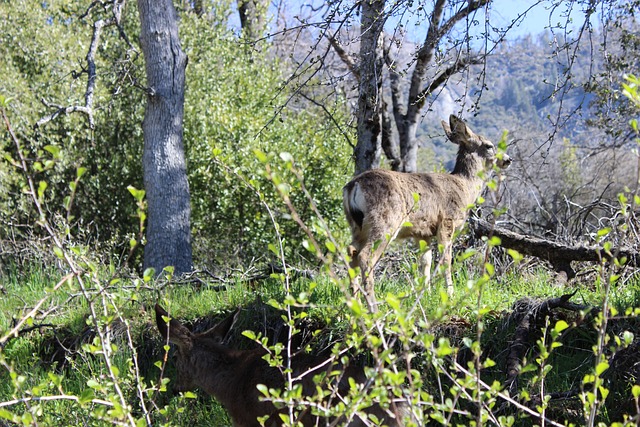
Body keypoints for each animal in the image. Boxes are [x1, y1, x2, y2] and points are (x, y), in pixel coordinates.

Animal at [342, 115, 512, 300]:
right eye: (489, 145)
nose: (508, 159)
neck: (465, 187)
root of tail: (354, 185)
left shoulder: (422, 232)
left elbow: (426, 262)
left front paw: (425, 294)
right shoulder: (447, 221)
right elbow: (445, 259)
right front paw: (450, 294)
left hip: (356, 225)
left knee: (351, 251)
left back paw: (354, 299)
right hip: (385, 220)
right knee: (365, 255)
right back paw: (371, 301)